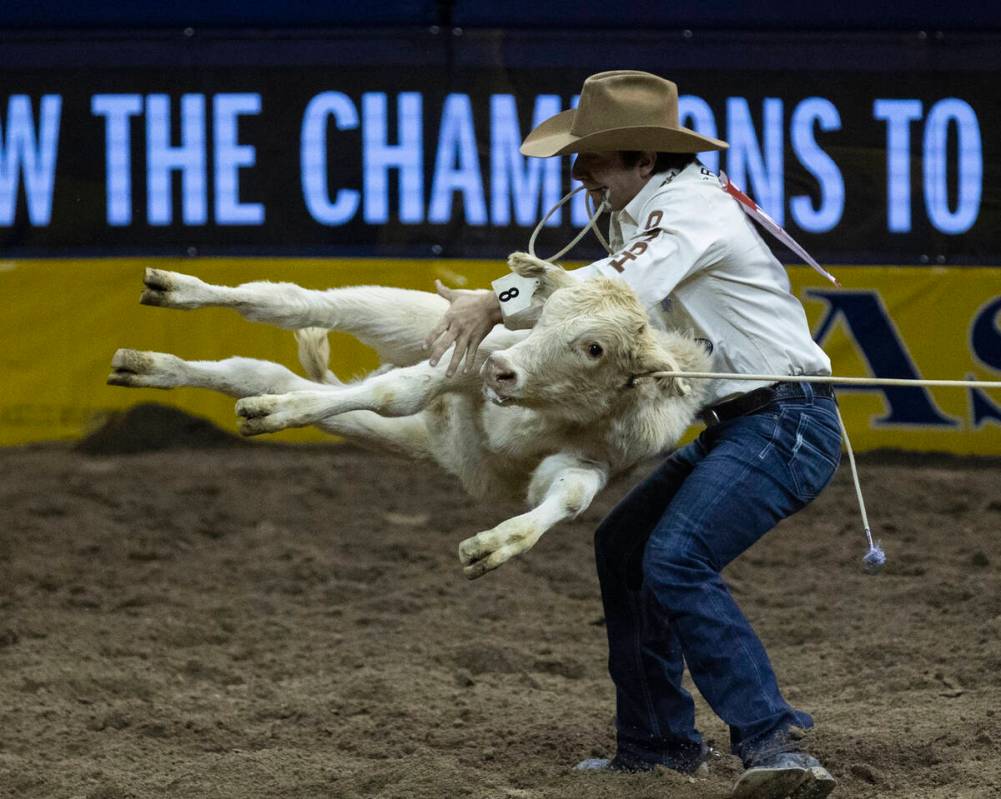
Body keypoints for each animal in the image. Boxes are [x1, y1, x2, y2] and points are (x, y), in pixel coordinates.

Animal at [109, 260, 712, 580]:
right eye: (548, 318)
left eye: (594, 347)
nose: (503, 372)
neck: (552, 406)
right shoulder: (467, 357)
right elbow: (397, 389)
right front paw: (282, 414)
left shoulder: (600, 458)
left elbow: (567, 496)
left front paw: (493, 546)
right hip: (407, 316)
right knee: (295, 303)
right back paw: (177, 291)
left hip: (414, 433)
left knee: (258, 370)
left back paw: (149, 367)